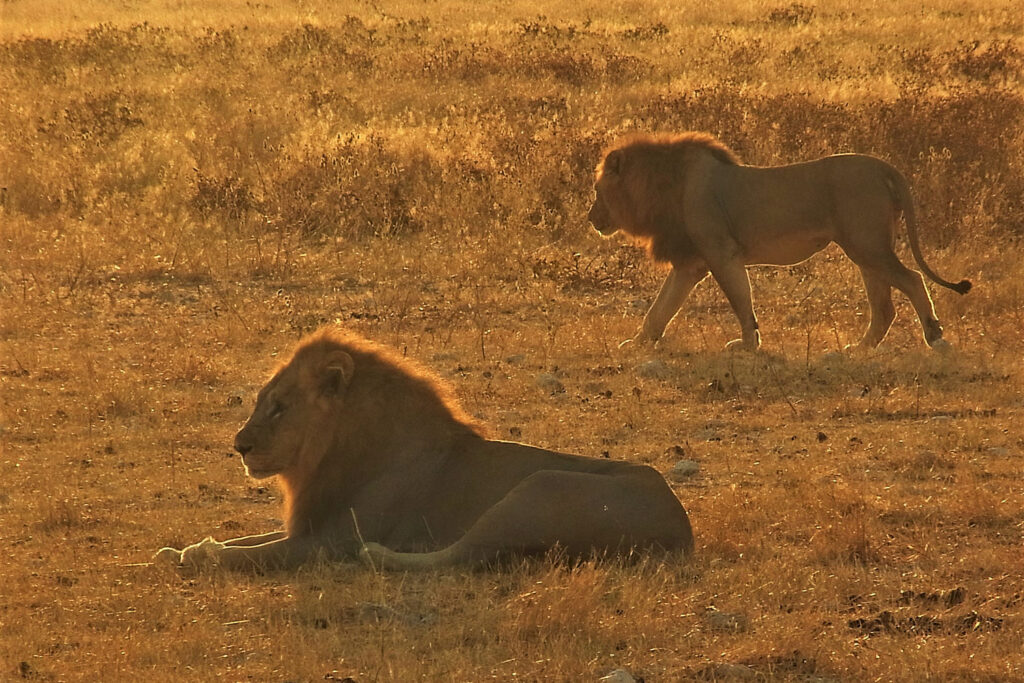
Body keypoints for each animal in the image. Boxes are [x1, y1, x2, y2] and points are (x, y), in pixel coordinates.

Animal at [156, 327, 694, 572]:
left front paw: (195, 555)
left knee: (460, 555)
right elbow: (245, 541)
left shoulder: (327, 541)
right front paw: (181, 547)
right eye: (260, 401)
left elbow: (250, 555)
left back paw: (380, 555)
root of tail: (682, 528)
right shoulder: (310, 525)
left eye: (280, 407)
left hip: (540, 487)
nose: (239, 446)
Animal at [587, 132, 972, 352]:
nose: (591, 218)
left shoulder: (721, 253)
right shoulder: (690, 263)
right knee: (885, 305)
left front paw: (746, 345)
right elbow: (660, 308)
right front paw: (637, 343)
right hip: (867, 249)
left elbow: (741, 302)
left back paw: (934, 336)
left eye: (596, 191)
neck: (662, 187)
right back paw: (859, 348)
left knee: (913, 279)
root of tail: (884, 167)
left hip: (867, 245)